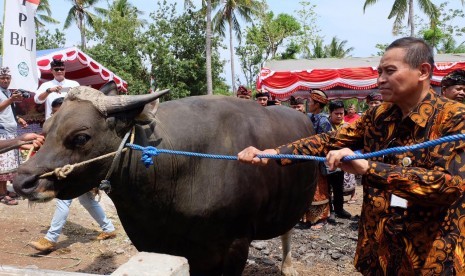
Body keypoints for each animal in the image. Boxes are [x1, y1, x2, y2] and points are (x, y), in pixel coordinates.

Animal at [12, 85, 318, 274]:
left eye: (80, 137)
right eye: (47, 129)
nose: (21, 181)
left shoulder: (236, 244)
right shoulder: (150, 241)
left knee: (288, 230)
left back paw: (288, 265)